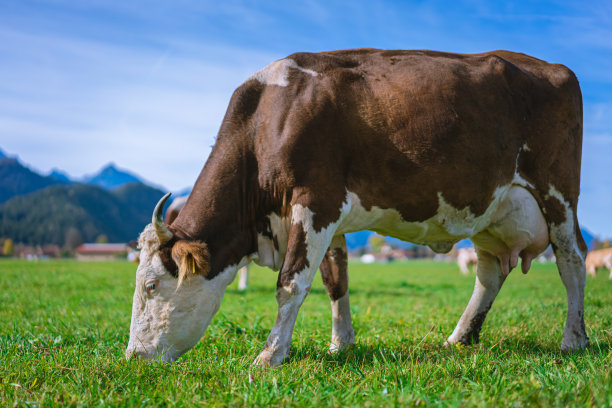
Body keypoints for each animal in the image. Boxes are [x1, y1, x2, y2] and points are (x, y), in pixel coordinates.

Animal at [124, 48, 588, 366]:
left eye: (151, 286)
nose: (133, 356)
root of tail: (553, 67)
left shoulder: (315, 200)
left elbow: (291, 283)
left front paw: (270, 355)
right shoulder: (330, 218)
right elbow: (335, 281)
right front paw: (340, 343)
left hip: (558, 195)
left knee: (573, 260)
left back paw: (574, 338)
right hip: (492, 211)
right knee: (490, 273)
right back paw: (460, 337)